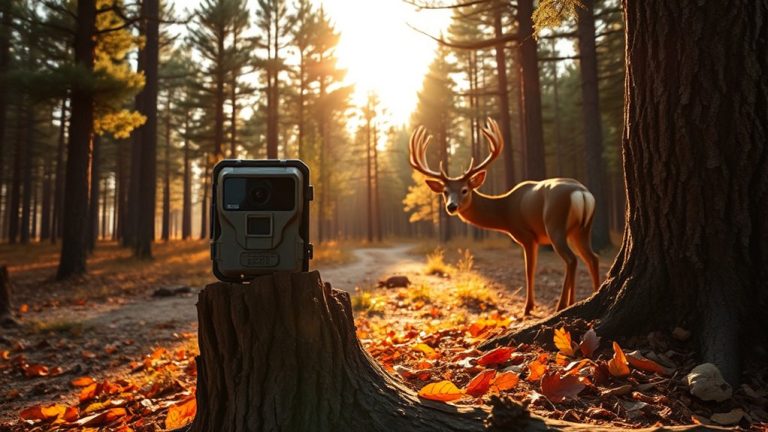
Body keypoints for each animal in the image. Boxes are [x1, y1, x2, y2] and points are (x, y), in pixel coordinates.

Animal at [409, 118, 601, 316]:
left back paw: (562, 305)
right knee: (592, 257)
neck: (506, 212)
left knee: (572, 259)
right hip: (581, 230)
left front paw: (528, 307)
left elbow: (529, 270)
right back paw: (592, 293)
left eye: (464, 190)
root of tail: (581, 193)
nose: (451, 206)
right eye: (445, 192)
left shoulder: (527, 235)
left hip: (555, 225)